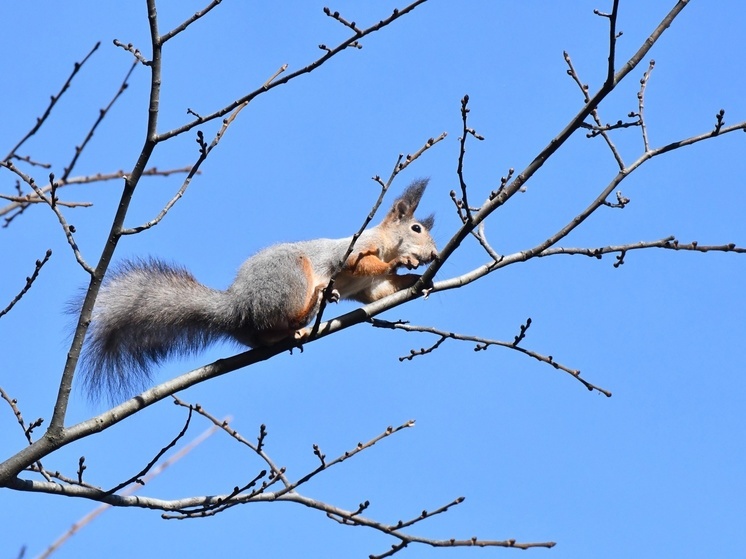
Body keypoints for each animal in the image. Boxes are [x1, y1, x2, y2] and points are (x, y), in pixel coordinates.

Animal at [81, 177, 438, 400]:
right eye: (416, 228)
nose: (433, 254)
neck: (384, 244)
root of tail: (237, 306)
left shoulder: (370, 290)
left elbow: (382, 292)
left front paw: (420, 282)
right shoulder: (356, 250)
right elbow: (357, 263)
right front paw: (404, 260)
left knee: (265, 334)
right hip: (290, 275)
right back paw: (314, 303)